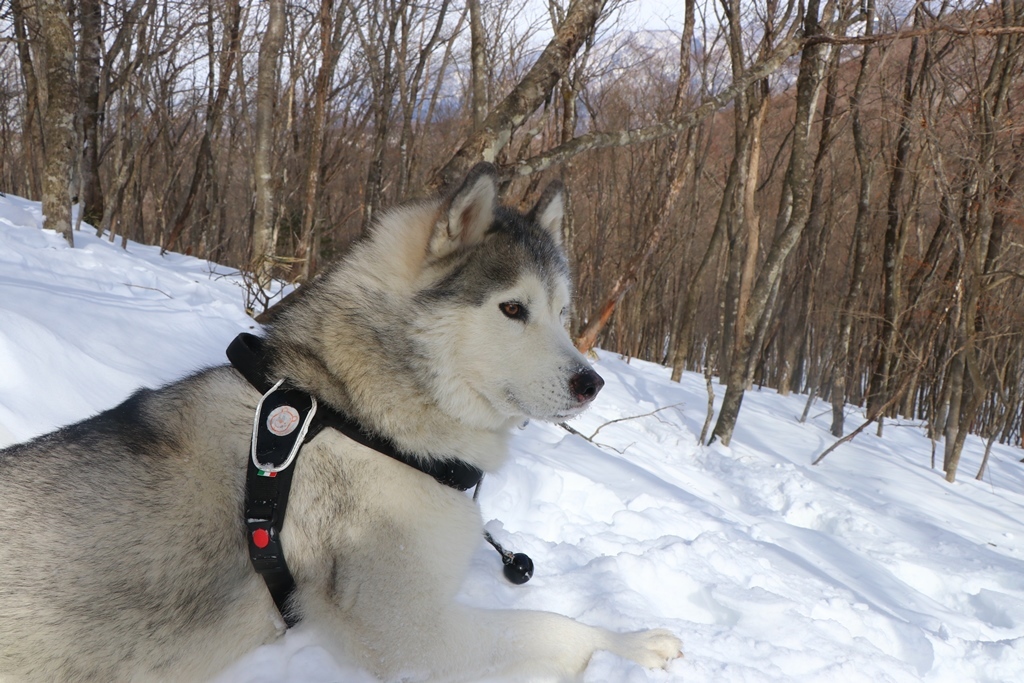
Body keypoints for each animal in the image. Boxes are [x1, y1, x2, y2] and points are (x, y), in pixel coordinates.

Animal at [0, 162, 679, 679]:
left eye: (563, 314)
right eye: (513, 309)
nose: (591, 383)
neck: (359, 413)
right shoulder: (412, 632)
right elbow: (551, 628)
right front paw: (632, 645)